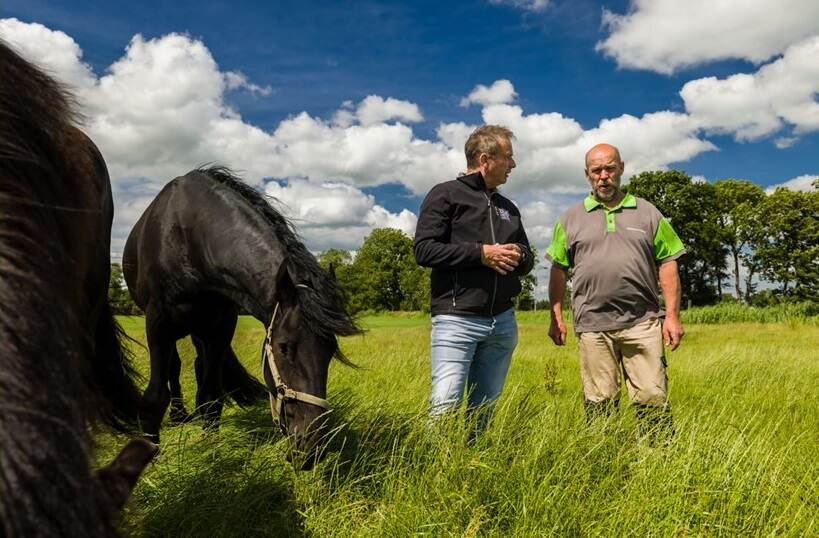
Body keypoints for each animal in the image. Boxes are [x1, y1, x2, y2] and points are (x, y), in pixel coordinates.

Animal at [123, 165, 360, 462]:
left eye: (329, 351)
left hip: (200, 331)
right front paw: (150, 454)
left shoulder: (221, 326)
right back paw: (179, 416)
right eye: (284, 348)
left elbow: (211, 394)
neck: (187, 239)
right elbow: (155, 395)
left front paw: (210, 446)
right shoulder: (156, 322)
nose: (311, 447)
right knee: (174, 369)